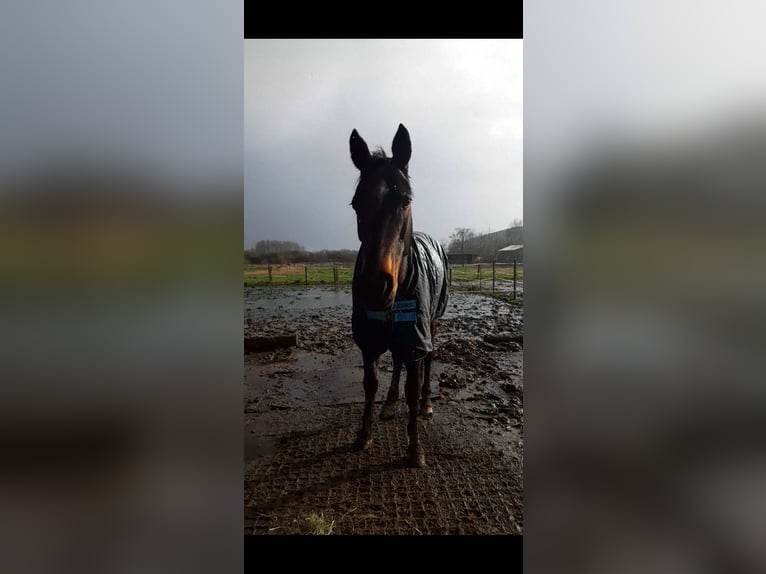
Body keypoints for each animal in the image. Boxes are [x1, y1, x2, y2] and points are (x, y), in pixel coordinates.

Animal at [349, 123, 449, 468]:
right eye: (356, 204)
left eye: (405, 200)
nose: (374, 286)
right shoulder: (369, 339)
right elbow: (370, 384)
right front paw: (363, 435)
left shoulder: (416, 335)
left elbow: (412, 386)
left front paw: (414, 448)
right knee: (398, 361)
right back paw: (390, 404)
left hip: (432, 322)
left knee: (428, 359)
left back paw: (427, 403)